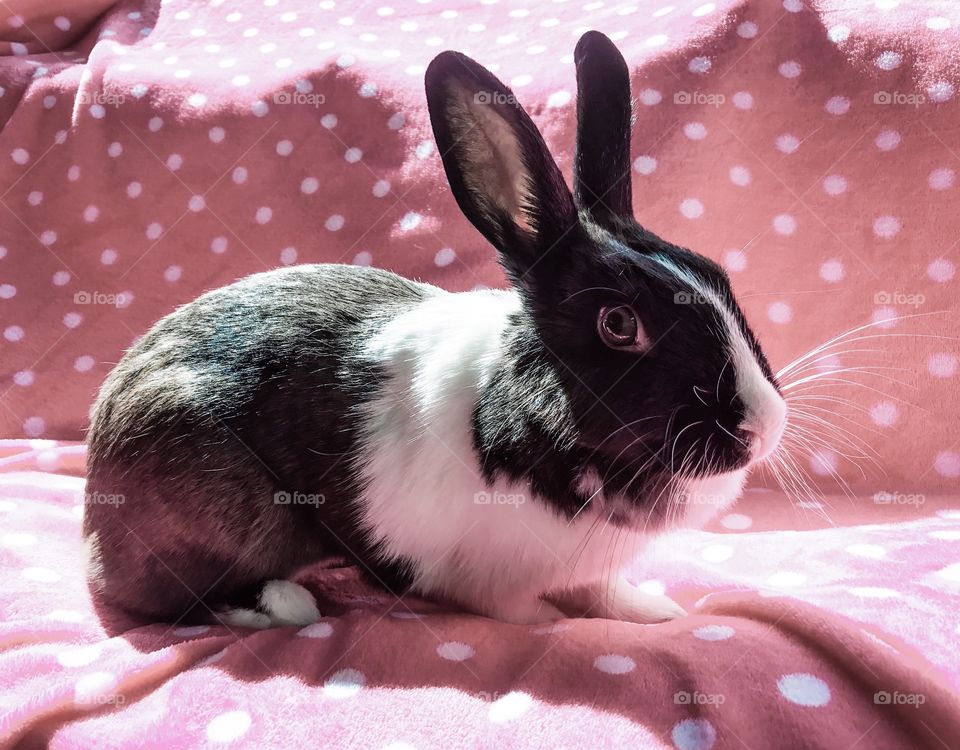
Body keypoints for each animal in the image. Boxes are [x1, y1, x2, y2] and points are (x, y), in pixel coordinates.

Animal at [82, 31, 787, 632]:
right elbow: (517, 609)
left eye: (716, 273)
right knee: (170, 599)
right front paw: (550, 622)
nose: (763, 428)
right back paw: (284, 604)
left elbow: (604, 592)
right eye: (619, 324)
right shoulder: (486, 578)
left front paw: (655, 612)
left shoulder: (588, 567)